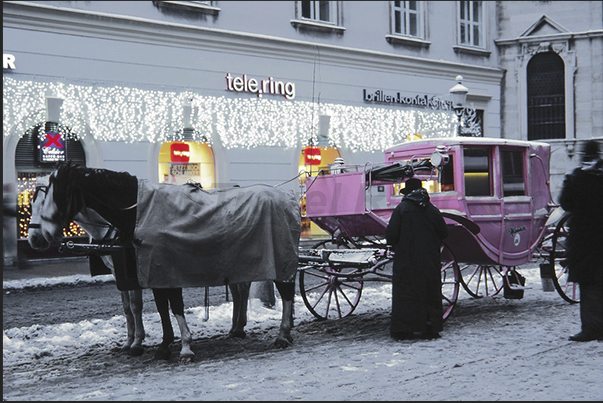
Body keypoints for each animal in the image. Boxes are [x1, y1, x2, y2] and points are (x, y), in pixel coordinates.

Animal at [30, 161, 300, 362]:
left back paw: (282, 334)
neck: (138, 213)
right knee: (243, 289)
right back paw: (242, 329)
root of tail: (288, 196)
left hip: (279, 258)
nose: (36, 238)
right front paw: (160, 344)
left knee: (286, 291)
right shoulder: (147, 270)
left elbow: (168, 306)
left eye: (55, 195)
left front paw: (181, 346)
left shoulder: (162, 269)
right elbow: (156, 308)